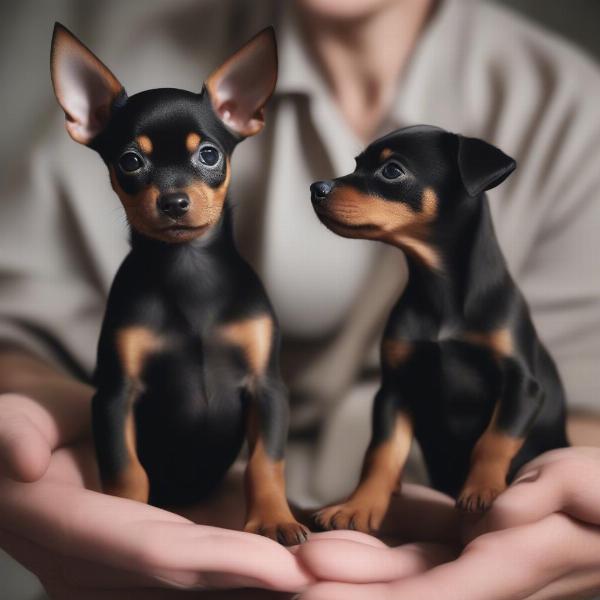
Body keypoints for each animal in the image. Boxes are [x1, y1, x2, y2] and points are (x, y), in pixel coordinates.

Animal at [49, 25, 308, 548]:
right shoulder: (115, 395)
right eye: (130, 162)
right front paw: (126, 513)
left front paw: (273, 517)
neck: (188, 269)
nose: (173, 201)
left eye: (208, 154)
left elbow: (267, 463)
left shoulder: (267, 388)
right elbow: (125, 469)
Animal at [310, 124, 568, 532]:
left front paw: (482, 489)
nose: (316, 188)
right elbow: (381, 453)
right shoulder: (395, 389)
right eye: (355, 164)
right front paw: (359, 506)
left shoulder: (522, 386)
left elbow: (495, 439)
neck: (439, 286)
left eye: (392, 171)